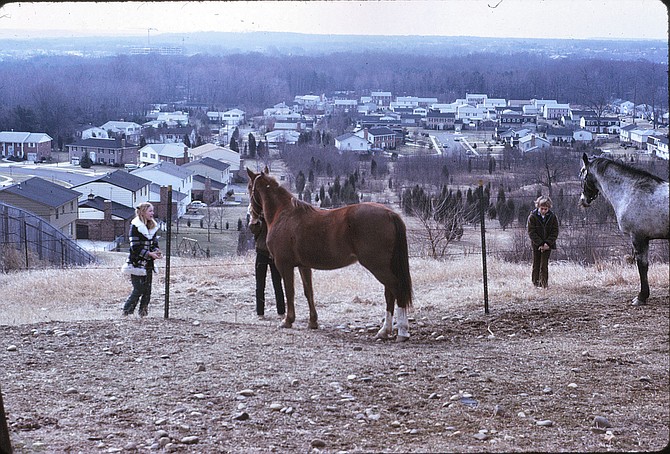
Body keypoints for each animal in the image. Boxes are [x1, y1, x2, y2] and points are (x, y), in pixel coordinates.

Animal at [248, 167, 414, 340]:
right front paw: (313, 322)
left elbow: (290, 292)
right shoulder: (304, 266)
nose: (253, 221)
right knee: (389, 293)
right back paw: (384, 331)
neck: (284, 214)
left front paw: (287, 321)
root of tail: (390, 214)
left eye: (249, 187)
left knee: (396, 289)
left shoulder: (284, 265)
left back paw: (402, 332)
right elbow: (309, 292)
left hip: (378, 266)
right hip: (384, 267)